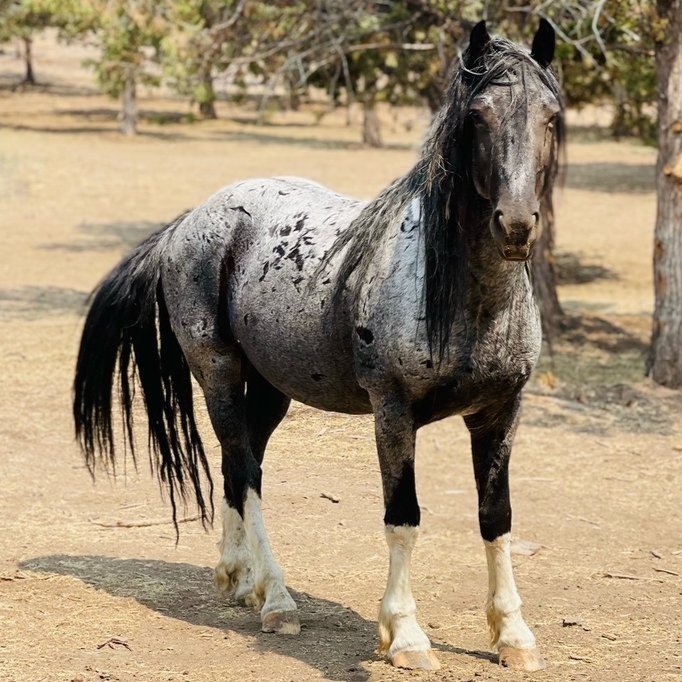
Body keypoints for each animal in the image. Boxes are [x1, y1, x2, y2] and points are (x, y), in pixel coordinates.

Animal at [74, 19, 564, 668]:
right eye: (479, 115)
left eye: (551, 117)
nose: (516, 225)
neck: (461, 298)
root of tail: (188, 223)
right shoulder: (393, 413)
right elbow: (403, 517)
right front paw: (405, 635)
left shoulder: (501, 413)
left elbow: (496, 517)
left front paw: (513, 635)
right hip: (219, 374)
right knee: (243, 468)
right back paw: (277, 600)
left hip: (270, 390)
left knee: (240, 469)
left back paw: (239, 579)